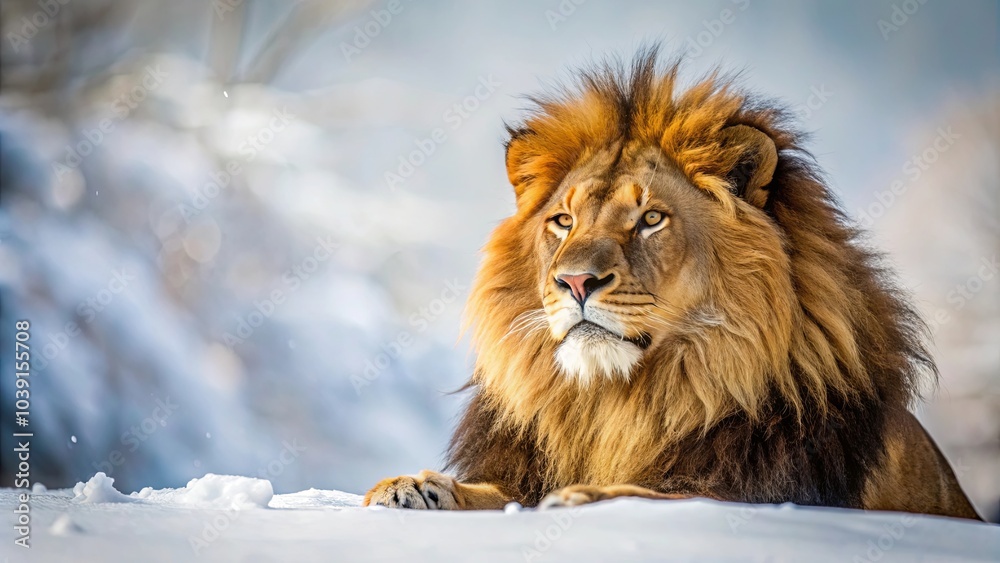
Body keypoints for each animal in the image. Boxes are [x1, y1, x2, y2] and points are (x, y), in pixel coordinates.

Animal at [363, 48, 982, 520]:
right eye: (563, 221)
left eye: (652, 219)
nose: (574, 280)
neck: (619, 402)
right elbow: (495, 493)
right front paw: (413, 487)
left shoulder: (761, 491)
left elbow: (666, 493)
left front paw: (585, 497)